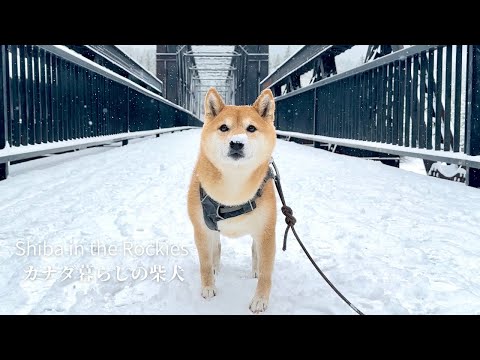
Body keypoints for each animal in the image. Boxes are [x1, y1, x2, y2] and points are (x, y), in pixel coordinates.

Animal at [188, 86, 278, 312]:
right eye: (223, 127)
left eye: (251, 128)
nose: (237, 143)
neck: (234, 187)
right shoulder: (201, 229)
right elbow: (204, 262)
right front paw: (208, 287)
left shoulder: (266, 232)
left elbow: (266, 272)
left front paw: (260, 300)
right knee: (216, 248)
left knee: (255, 251)